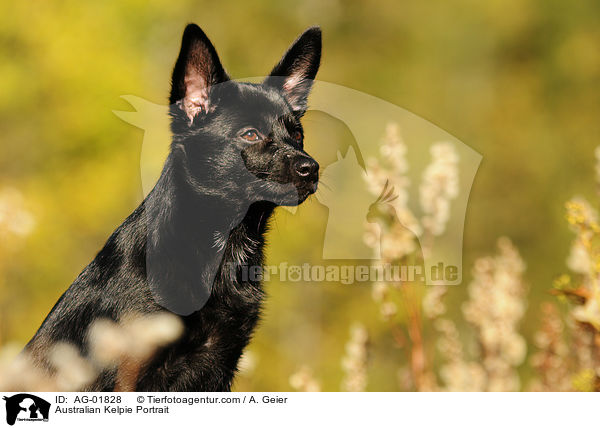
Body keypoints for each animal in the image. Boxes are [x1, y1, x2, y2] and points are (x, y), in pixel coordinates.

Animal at [25, 22, 322, 392]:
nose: (312, 169)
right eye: (251, 134)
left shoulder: (219, 368)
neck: (221, 247)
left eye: (297, 135)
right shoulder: (129, 374)